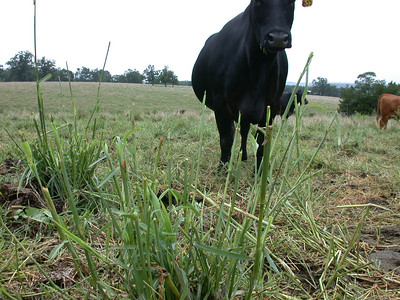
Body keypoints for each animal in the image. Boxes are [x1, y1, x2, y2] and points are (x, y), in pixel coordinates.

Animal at [192, 0, 298, 169]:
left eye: (291, 2)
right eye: (258, 2)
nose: (278, 38)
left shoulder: (272, 106)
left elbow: (262, 142)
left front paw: (259, 171)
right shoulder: (220, 105)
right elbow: (226, 139)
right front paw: (223, 168)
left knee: (245, 131)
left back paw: (244, 156)